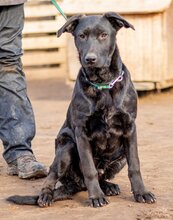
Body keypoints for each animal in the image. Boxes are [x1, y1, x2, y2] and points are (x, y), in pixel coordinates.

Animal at [6, 12, 156, 208]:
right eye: (82, 36)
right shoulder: (81, 131)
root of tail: (76, 184)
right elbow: (89, 168)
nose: (90, 59)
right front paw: (96, 197)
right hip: (66, 146)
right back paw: (46, 196)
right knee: (53, 175)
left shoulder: (129, 128)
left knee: (101, 176)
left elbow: (135, 165)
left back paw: (108, 186)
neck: (102, 83)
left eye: (103, 35)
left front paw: (141, 192)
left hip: (120, 156)